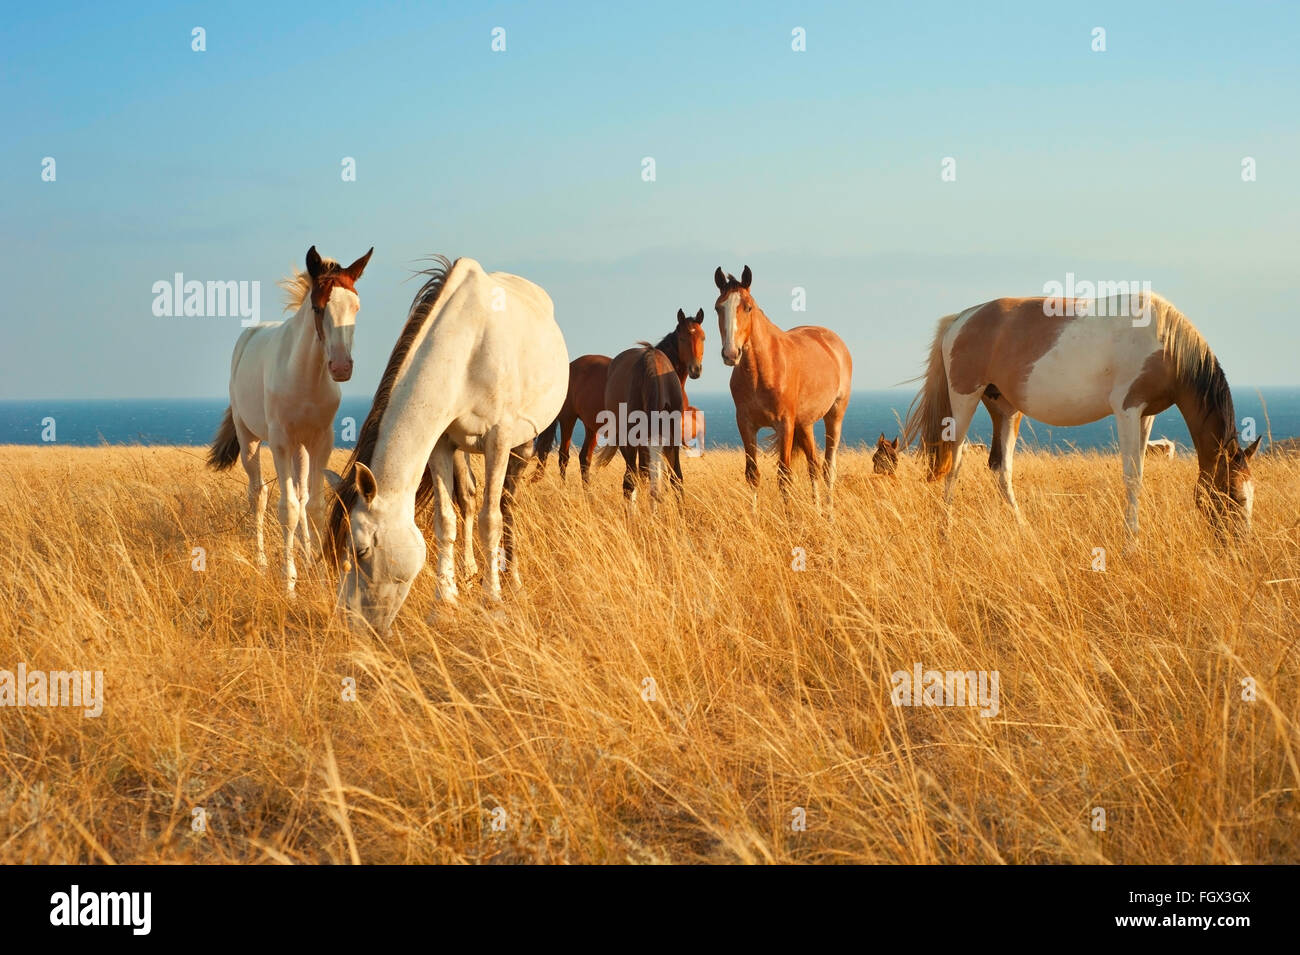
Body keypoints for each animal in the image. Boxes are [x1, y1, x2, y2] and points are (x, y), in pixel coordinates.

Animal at [207, 245, 372, 592]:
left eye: (356, 306)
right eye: (318, 308)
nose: (341, 367)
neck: (306, 376)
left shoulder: (321, 441)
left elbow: (314, 507)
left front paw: (319, 576)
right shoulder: (280, 442)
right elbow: (287, 510)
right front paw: (289, 583)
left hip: (302, 448)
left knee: (302, 494)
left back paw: (306, 556)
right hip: (250, 438)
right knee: (258, 495)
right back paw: (261, 563)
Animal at [325, 256, 568, 634]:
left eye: (362, 550)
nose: (353, 625)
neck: (467, 346)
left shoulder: (498, 439)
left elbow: (491, 519)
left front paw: (492, 600)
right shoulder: (440, 443)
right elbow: (446, 520)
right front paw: (445, 603)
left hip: (523, 443)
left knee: (508, 504)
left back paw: (511, 579)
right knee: (466, 498)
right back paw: (469, 573)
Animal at [713, 266, 853, 512]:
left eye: (747, 307)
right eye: (719, 308)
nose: (731, 353)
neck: (762, 371)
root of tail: (834, 341)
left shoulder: (785, 424)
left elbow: (785, 476)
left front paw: (789, 518)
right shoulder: (746, 424)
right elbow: (753, 475)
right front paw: (753, 516)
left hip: (834, 415)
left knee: (828, 468)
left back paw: (829, 514)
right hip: (805, 424)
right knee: (813, 466)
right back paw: (817, 511)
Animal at [903, 291, 1260, 537]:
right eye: (1234, 497)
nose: (1239, 545)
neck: (1165, 341)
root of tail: (962, 318)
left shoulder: (1147, 415)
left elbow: (1141, 474)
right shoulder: (1127, 410)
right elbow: (1132, 477)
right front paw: (1131, 544)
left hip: (1005, 410)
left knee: (1000, 469)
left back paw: (1023, 529)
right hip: (965, 401)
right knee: (955, 465)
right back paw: (945, 534)